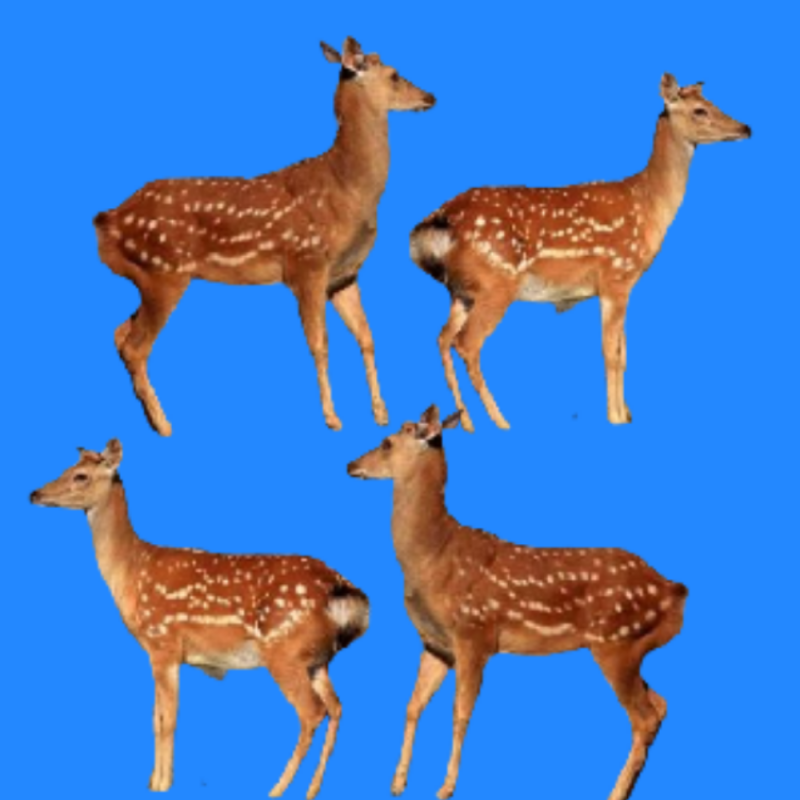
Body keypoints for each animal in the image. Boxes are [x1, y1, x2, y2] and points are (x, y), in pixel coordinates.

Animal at [30, 440, 370, 797]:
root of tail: (342, 590)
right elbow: (154, 718)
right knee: (337, 707)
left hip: (284, 652)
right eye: (65, 468)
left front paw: (162, 785)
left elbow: (167, 719)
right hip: (317, 659)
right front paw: (152, 780)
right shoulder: (159, 653)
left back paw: (276, 789)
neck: (132, 569)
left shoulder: (163, 643)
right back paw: (312, 790)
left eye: (80, 475)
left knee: (312, 712)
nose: (34, 493)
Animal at [94, 37, 435, 436]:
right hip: (165, 270)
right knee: (136, 346)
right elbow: (320, 344)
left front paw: (381, 414)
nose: (430, 96)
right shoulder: (306, 264)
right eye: (395, 75)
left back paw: (152, 418)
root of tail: (108, 220)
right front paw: (333, 418)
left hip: (149, 275)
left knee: (120, 333)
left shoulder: (344, 275)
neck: (348, 189)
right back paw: (164, 425)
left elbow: (367, 337)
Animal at [347, 406, 688, 800]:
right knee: (660, 704)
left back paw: (613, 793)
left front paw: (445, 788)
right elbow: (412, 705)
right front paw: (397, 781)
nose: (351, 464)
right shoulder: (436, 644)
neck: (432, 557)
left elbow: (460, 713)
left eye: (386, 443)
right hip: (631, 645)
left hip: (615, 641)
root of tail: (675, 591)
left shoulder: (474, 633)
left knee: (643, 717)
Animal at [410, 74, 751, 429]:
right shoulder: (617, 275)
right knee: (467, 343)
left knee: (442, 338)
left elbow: (624, 353)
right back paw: (502, 422)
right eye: (700, 110)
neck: (648, 204)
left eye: (712, 102)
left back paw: (467, 423)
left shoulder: (619, 285)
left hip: (461, 291)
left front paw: (626, 415)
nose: (745, 128)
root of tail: (437, 221)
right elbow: (611, 353)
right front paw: (615, 418)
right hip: (496, 284)